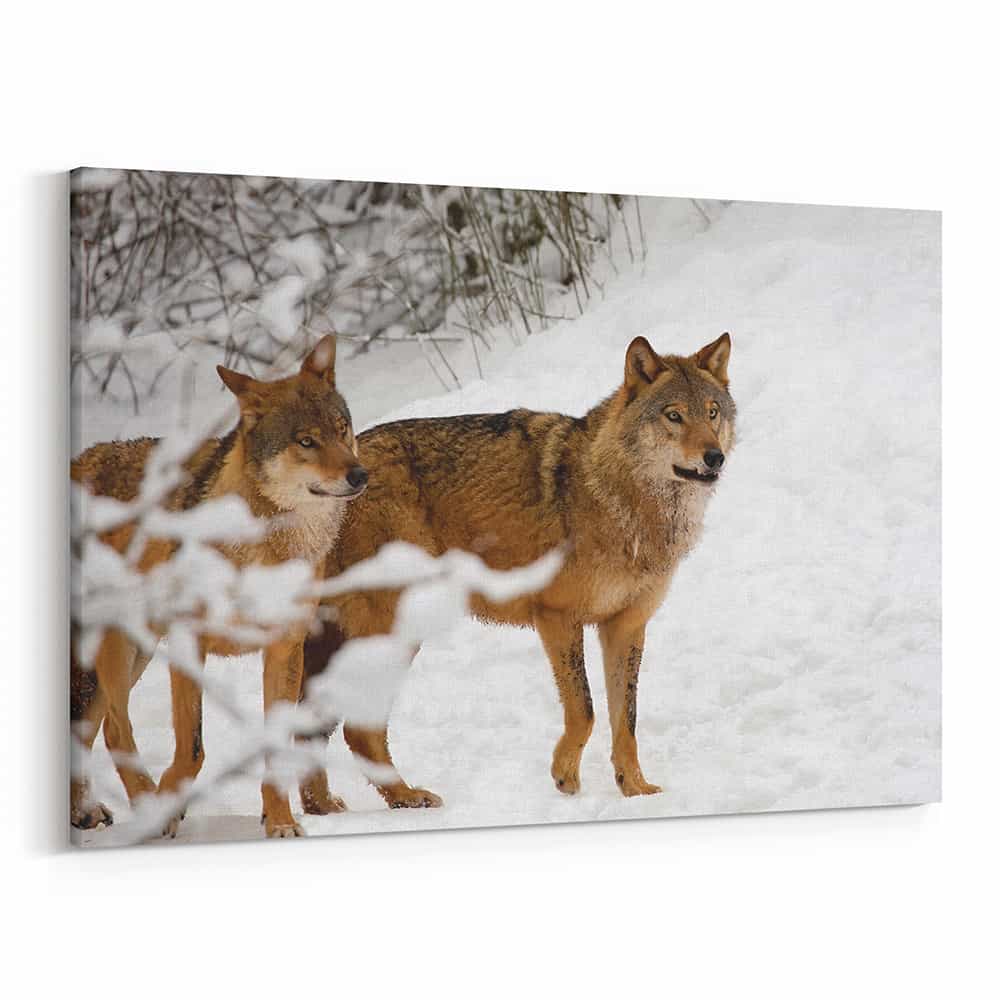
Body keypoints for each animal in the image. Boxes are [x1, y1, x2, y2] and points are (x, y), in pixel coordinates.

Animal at [71, 336, 367, 838]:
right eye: (306, 442)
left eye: (342, 429)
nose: (359, 475)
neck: (267, 542)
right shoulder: (189, 643)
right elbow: (192, 749)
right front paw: (170, 803)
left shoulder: (285, 649)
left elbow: (274, 747)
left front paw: (280, 821)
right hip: (118, 648)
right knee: (114, 729)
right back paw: (144, 808)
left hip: (136, 654)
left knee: (90, 729)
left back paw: (86, 812)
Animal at [295, 333, 734, 814]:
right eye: (674, 416)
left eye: (712, 412)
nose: (714, 457)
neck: (623, 502)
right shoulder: (557, 617)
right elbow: (585, 711)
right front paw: (565, 778)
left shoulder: (626, 626)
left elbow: (626, 720)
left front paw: (635, 791)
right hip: (392, 630)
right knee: (355, 730)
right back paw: (399, 799)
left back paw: (332, 806)